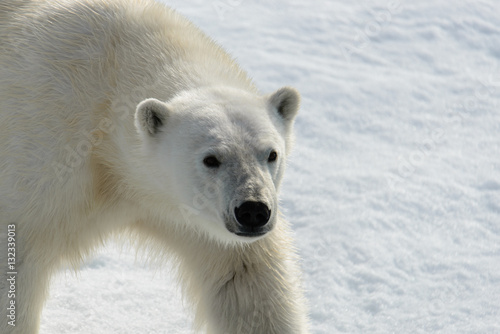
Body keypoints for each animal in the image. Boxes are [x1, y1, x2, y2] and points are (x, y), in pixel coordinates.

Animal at [0, 0, 306, 334]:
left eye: (271, 154)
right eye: (211, 159)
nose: (253, 211)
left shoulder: (194, 220)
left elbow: (247, 280)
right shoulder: (44, 161)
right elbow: (17, 266)